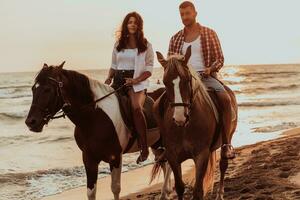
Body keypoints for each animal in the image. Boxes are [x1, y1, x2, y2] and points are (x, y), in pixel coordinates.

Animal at [24, 62, 166, 198]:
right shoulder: (89, 159)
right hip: (156, 144)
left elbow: (115, 188)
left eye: (47, 89)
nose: (31, 122)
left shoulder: (115, 158)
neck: (93, 118)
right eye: (33, 89)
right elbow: (91, 192)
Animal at [154, 46, 238, 199]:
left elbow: (198, 191)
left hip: (227, 138)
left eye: (187, 80)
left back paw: (220, 194)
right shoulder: (173, 156)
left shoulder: (201, 155)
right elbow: (180, 187)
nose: (180, 117)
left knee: (223, 164)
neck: (184, 128)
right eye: (164, 82)